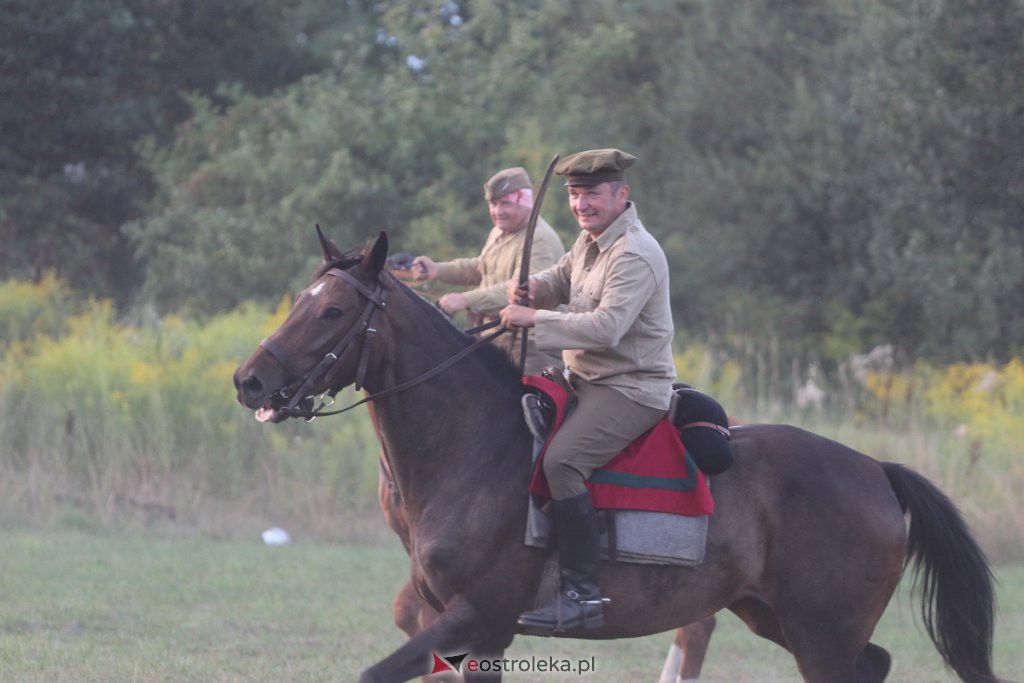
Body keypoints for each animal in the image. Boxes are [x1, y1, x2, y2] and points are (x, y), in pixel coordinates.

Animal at [232, 232, 999, 679]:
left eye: (333, 311)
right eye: (301, 299)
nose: (250, 381)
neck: (470, 448)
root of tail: (876, 471)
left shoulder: (478, 615)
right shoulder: (467, 629)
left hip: (821, 637)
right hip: (776, 617)